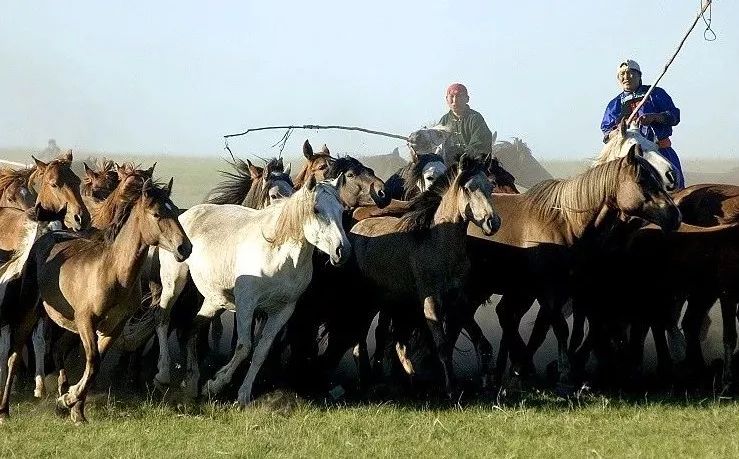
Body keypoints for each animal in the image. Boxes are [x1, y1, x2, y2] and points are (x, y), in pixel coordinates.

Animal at [0, 178, 191, 426]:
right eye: (156, 214)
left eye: (175, 212)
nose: (185, 248)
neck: (113, 272)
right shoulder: (86, 322)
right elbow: (92, 362)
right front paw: (69, 400)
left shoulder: (113, 327)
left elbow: (94, 366)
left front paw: (73, 408)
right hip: (30, 314)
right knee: (14, 357)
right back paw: (5, 411)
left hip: (67, 326)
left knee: (58, 349)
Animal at [155, 175, 350, 402]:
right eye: (316, 209)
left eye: (341, 210)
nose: (342, 251)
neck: (280, 256)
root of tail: (185, 216)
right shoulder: (246, 304)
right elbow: (244, 347)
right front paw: (216, 384)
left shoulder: (282, 311)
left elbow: (260, 352)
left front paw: (243, 395)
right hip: (173, 283)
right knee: (163, 321)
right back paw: (163, 374)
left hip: (214, 301)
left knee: (191, 331)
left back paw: (192, 382)